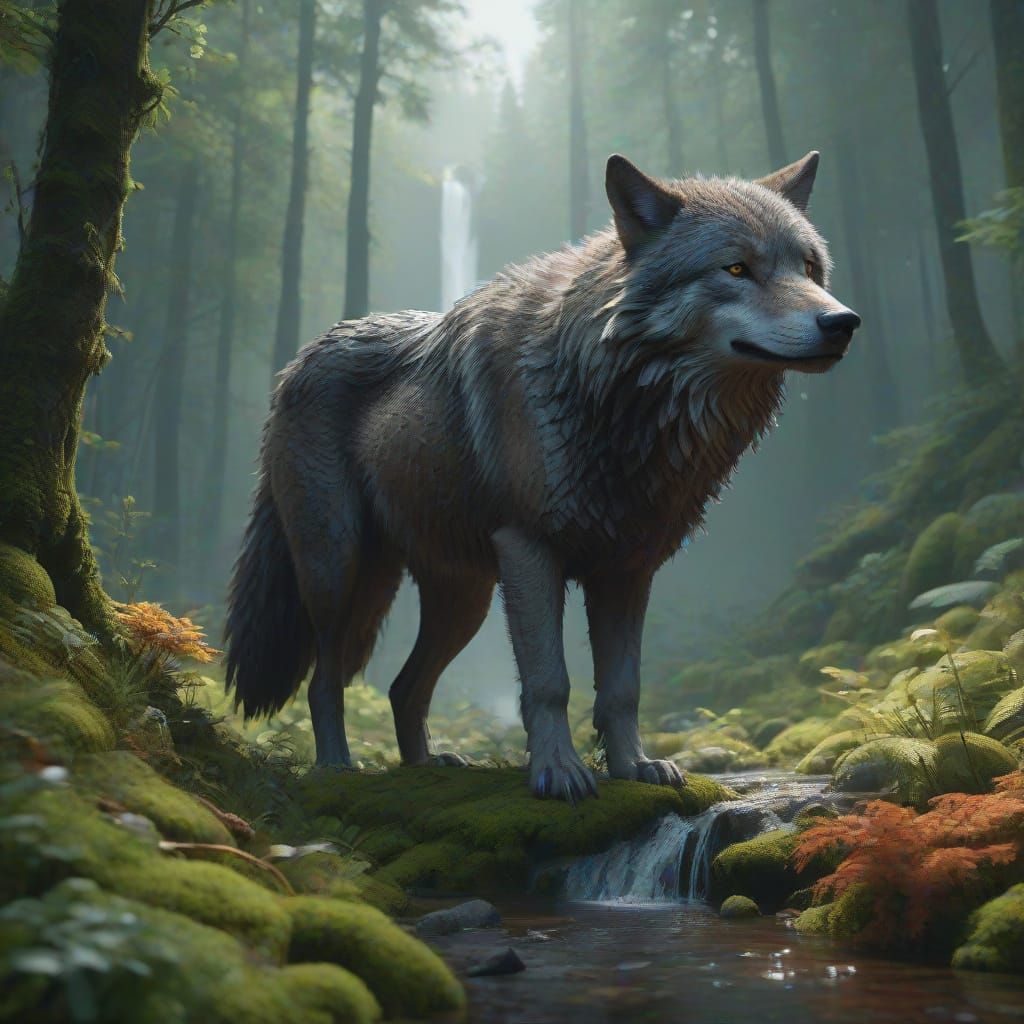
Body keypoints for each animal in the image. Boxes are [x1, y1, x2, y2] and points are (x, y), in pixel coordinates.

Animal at [225, 151, 860, 802]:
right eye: (736, 268)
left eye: (809, 267)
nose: (844, 321)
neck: (609, 394)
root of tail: (293, 367)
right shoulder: (530, 551)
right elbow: (550, 681)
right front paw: (559, 773)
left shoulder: (628, 570)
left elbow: (622, 688)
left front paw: (635, 768)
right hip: (340, 572)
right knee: (324, 678)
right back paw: (336, 768)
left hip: (463, 600)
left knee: (404, 686)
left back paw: (426, 767)